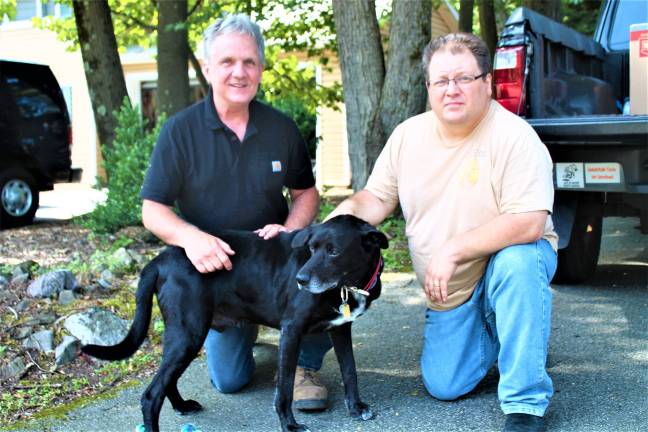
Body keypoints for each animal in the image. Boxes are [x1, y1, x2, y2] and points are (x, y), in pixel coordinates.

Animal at [80, 214, 384, 430]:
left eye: (333, 251)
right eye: (311, 248)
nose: (301, 280)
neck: (346, 286)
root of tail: (160, 258)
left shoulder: (341, 329)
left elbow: (350, 371)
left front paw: (356, 408)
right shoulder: (291, 331)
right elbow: (284, 389)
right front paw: (290, 425)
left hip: (187, 335)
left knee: (166, 380)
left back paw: (182, 406)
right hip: (189, 333)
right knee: (151, 395)